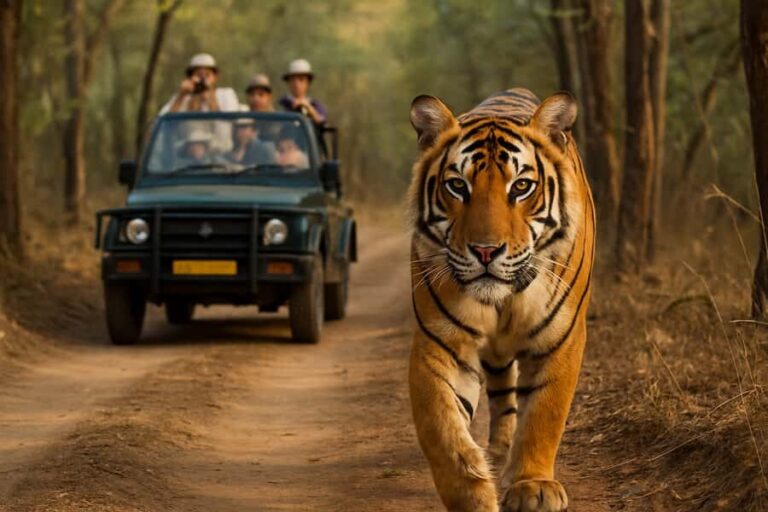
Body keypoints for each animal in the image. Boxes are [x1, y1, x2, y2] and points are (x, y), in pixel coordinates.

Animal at [407, 88, 595, 512]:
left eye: (521, 187)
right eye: (457, 186)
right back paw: (496, 453)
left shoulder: (561, 337)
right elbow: (441, 427)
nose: (486, 251)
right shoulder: (439, 342)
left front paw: (532, 487)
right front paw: (474, 493)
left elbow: (544, 413)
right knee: (501, 394)